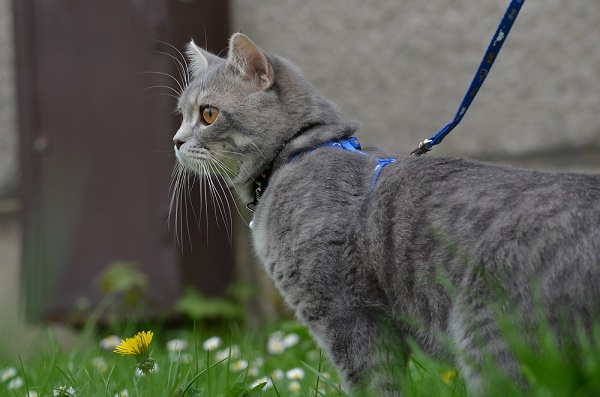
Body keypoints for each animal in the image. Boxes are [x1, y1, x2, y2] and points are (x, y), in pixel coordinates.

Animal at [171, 33, 600, 392]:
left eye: (207, 114)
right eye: (182, 114)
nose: (176, 140)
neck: (292, 157)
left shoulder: (349, 316)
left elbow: (372, 382)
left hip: (490, 336)